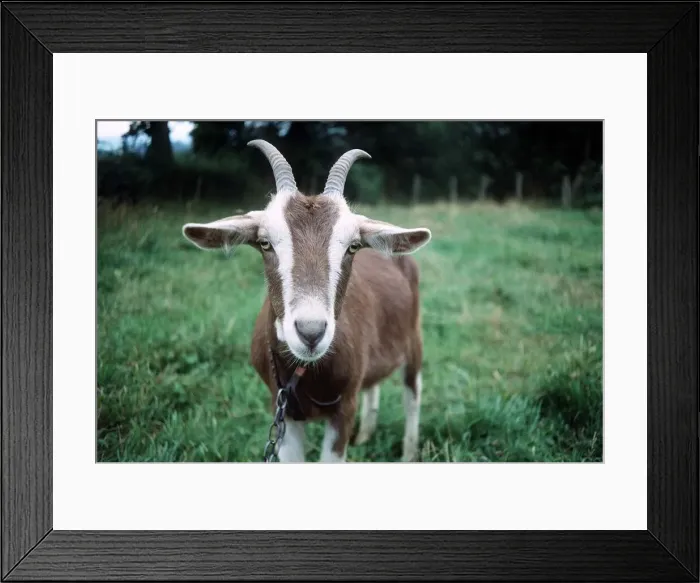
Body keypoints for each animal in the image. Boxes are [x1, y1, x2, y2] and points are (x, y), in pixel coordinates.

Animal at [182, 140, 432, 462]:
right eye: (265, 243)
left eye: (352, 246)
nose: (310, 332)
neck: (304, 372)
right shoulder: (283, 411)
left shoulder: (343, 409)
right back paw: (366, 435)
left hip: (414, 340)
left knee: (413, 393)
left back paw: (409, 453)